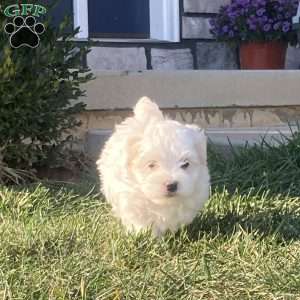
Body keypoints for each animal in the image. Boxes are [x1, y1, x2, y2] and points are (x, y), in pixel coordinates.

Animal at [97, 97, 210, 236]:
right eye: (151, 165)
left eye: (185, 164)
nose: (171, 185)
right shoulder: (130, 197)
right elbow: (141, 219)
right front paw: (147, 235)